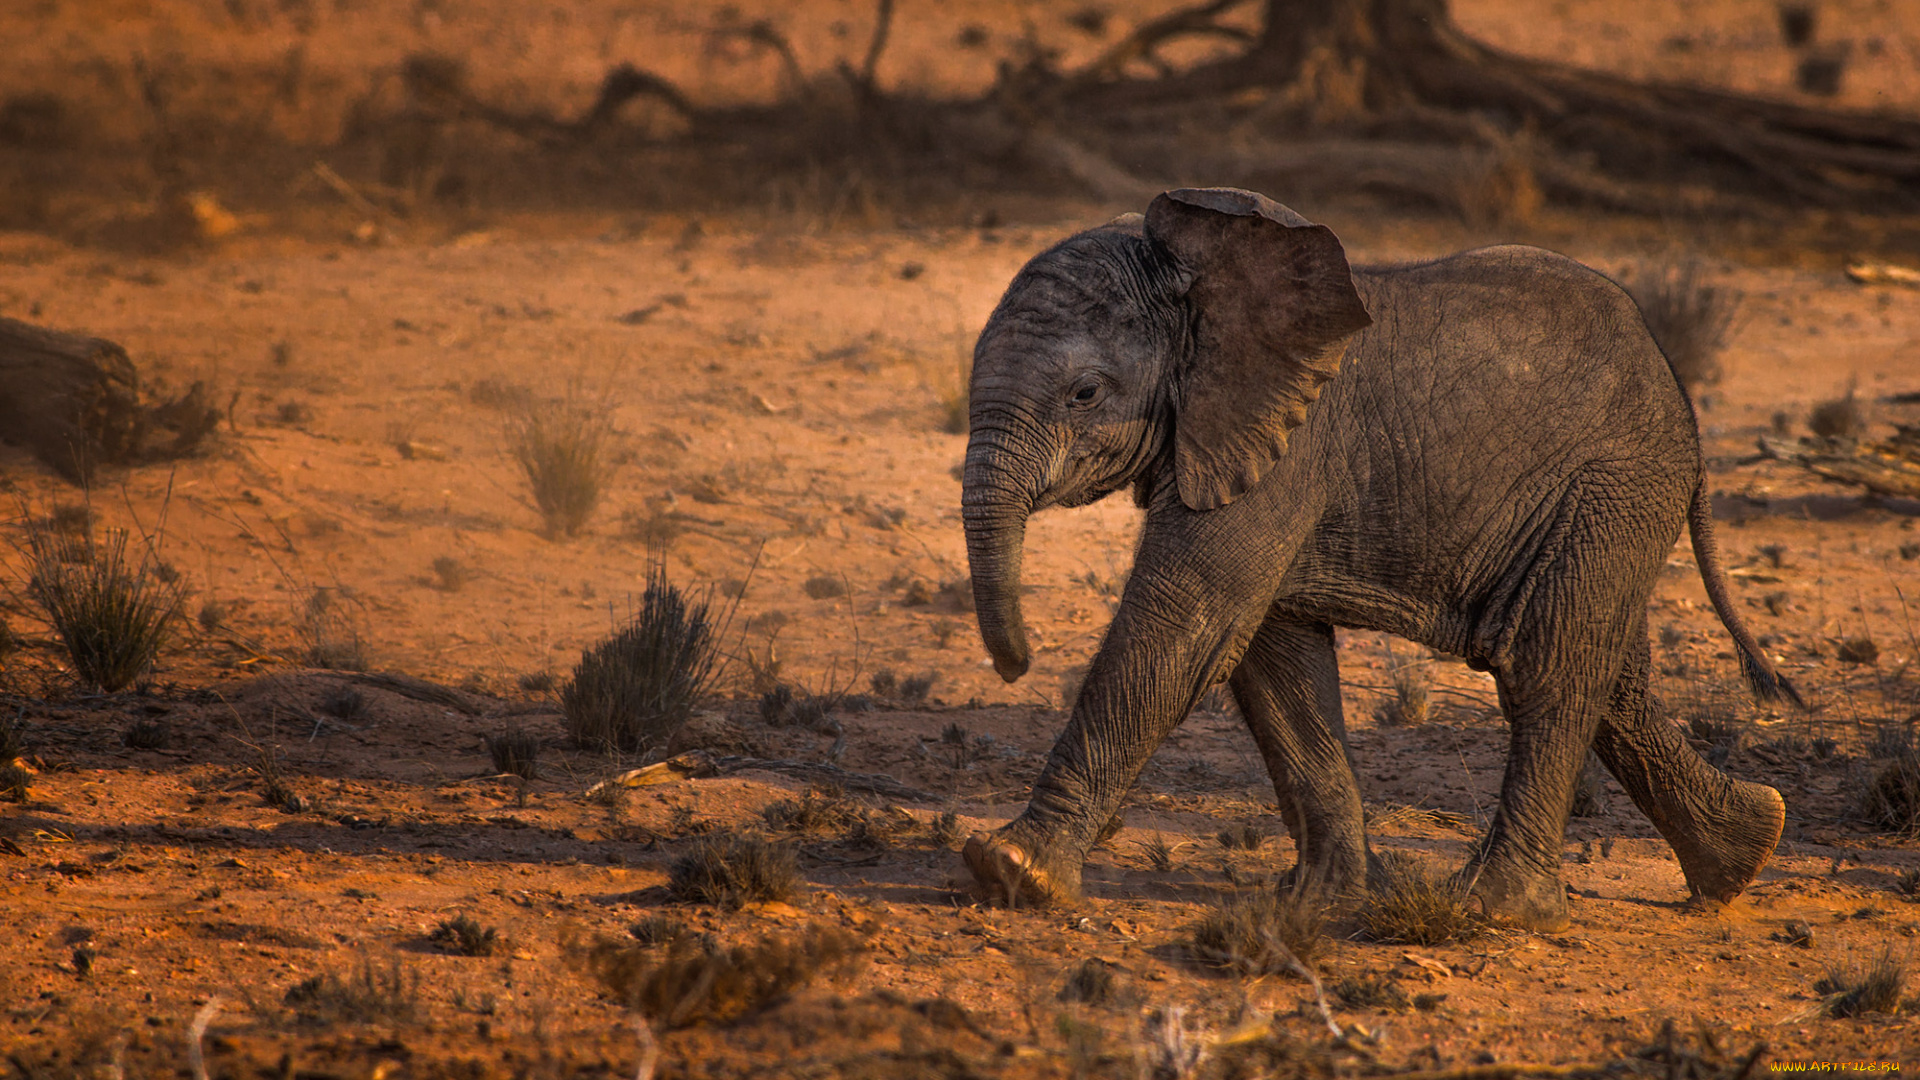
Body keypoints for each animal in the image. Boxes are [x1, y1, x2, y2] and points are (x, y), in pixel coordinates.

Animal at [967, 184, 1789, 926]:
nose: (1018, 665)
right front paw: (1322, 901)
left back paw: (1497, 909)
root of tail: (1682, 399)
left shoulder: (1290, 448)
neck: (1200, 272)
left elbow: (1184, 629)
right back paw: (1745, 852)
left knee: (1545, 667)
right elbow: (1274, 660)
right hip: (1605, 509)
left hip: (1611, 489)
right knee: (1612, 675)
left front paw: (1013, 871)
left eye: (1084, 394)